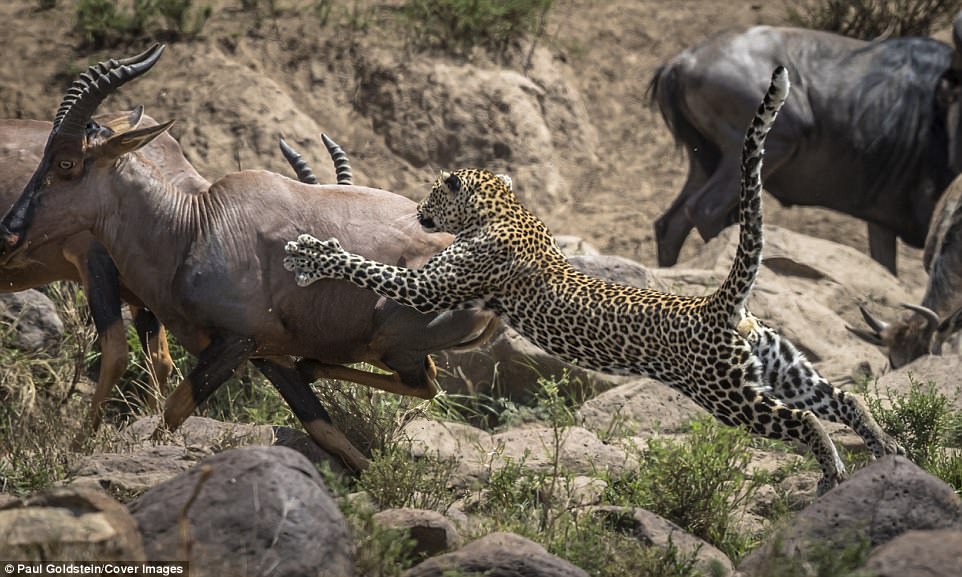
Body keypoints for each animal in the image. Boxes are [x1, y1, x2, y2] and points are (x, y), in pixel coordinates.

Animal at [0, 45, 496, 468]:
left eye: (67, 162)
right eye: (44, 155)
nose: (9, 233)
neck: (196, 223)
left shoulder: (235, 342)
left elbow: (173, 410)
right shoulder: (265, 353)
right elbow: (325, 429)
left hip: (392, 344)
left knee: (424, 382)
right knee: (412, 382)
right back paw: (314, 365)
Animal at [284, 66, 900, 490]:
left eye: (435, 192)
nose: (418, 211)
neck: (505, 207)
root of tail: (716, 304)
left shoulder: (431, 288)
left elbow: (371, 270)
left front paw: (310, 253)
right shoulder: (444, 291)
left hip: (727, 393)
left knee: (805, 419)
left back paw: (834, 470)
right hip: (782, 365)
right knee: (846, 398)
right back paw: (891, 450)